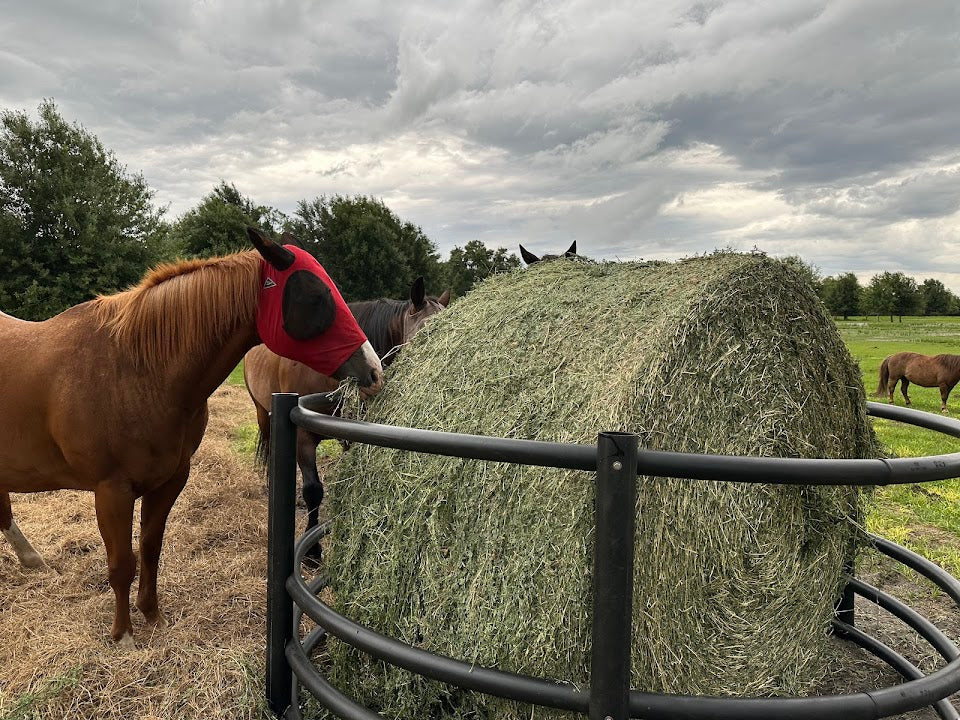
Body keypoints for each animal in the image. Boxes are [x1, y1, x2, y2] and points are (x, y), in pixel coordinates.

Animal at [0, 228, 382, 644]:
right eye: (315, 297)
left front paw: (152, 615)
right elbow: (122, 563)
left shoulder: (169, 480)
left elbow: (150, 549)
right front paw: (124, 634)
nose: (374, 372)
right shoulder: (111, 491)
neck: (134, 369)